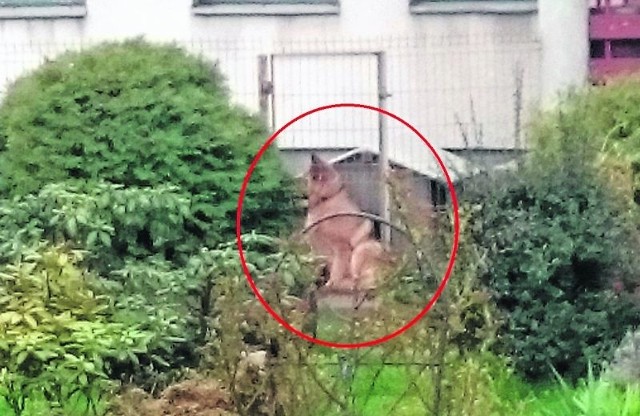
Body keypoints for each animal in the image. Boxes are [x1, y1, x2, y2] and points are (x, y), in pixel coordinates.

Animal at [304, 154, 390, 290]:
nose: (313, 154)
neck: (326, 199)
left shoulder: (341, 247)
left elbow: (336, 271)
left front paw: (330, 284)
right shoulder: (318, 251)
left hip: (362, 249)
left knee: (357, 280)